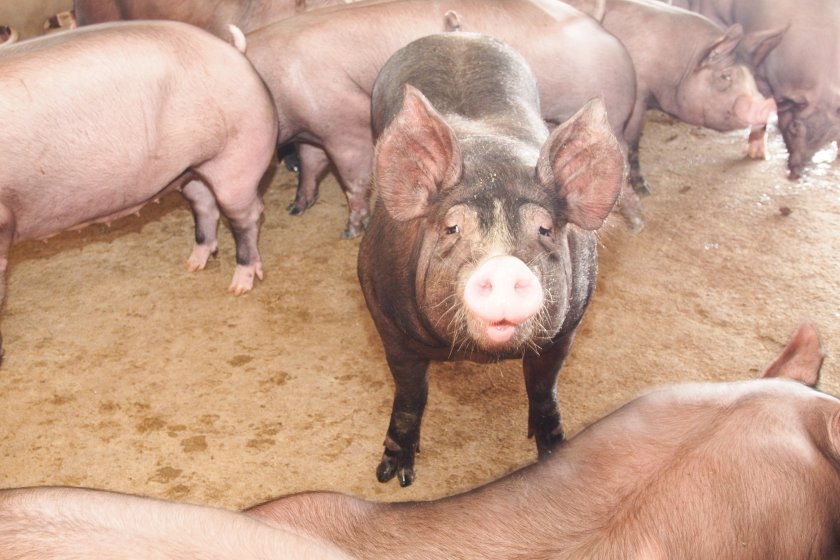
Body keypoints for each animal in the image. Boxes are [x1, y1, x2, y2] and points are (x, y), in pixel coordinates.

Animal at [0, 20, 278, 360]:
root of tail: (232, 50)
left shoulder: (3, 217)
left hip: (237, 158)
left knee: (247, 217)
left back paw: (239, 286)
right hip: (193, 169)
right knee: (205, 206)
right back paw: (193, 265)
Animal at [242, 0, 638, 238]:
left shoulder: (342, 122)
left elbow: (353, 177)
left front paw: (350, 231)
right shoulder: (310, 129)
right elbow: (310, 165)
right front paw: (296, 208)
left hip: (611, 116)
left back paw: (635, 222)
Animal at [357, 32, 626, 486]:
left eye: (544, 230)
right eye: (452, 228)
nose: (502, 266)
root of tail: (455, 32)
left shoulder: (568, 326)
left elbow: (544, 385)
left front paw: (554, 452)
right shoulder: (384, 316)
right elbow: (410, 392)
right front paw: (392, 476)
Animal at [564, 0, 778, 193]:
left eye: (753, 75)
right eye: (725, 76)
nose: (766, 105)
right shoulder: (638, 96)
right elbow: (632, 140)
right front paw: (644, 189)